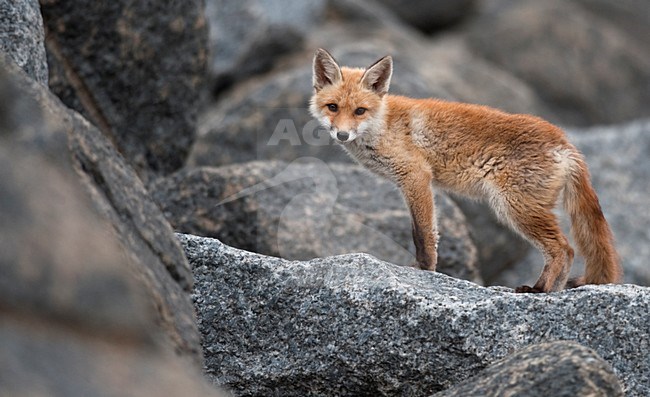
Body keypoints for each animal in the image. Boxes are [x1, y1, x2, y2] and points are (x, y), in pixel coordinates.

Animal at [310, 48, 624, 292]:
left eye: (360, 111)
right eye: (333, 107)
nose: (342, 135)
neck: (384, 125)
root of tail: (564, 140)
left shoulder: (416, 177)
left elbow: (423, 234)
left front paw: (424, 270)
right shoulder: (413, 184)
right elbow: (421, 231)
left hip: (516, 208)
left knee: (563, 248)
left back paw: (538, 289)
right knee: (567, 252)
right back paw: (552, 291)